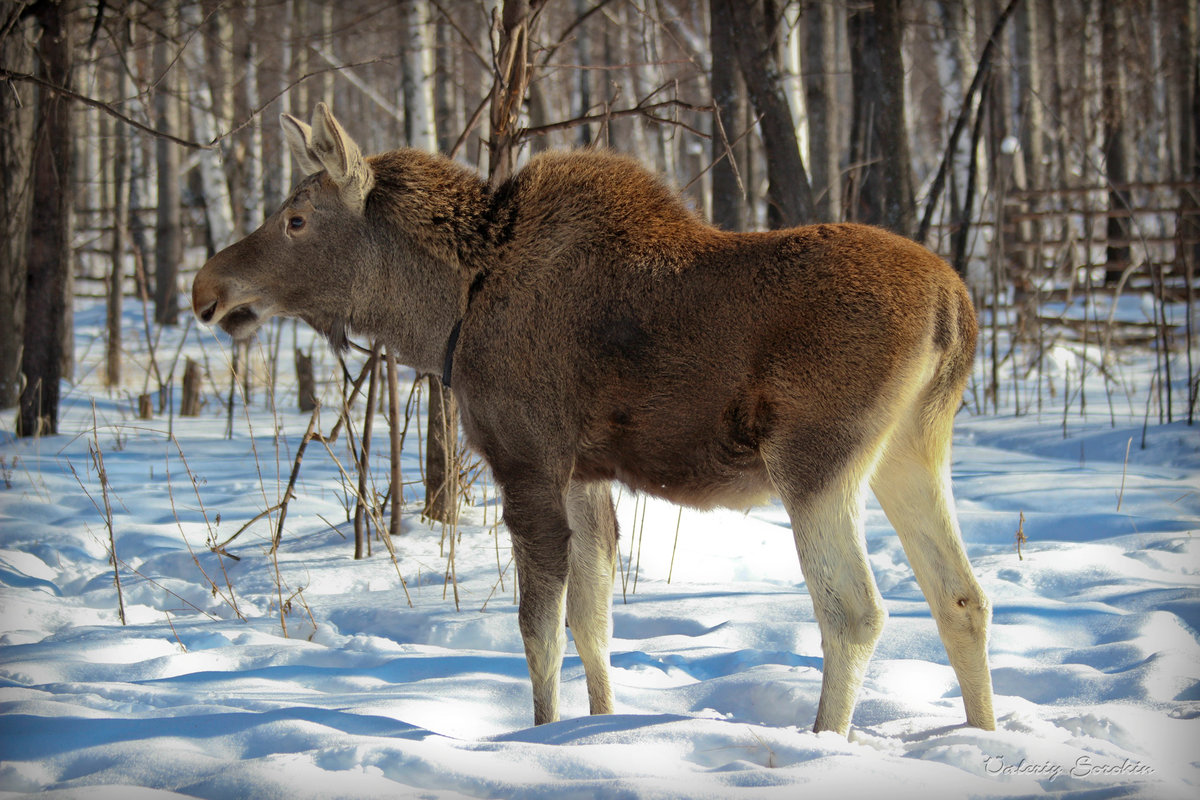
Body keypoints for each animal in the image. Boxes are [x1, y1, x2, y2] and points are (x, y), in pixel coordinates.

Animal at [194, 106, 993, 738]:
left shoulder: (527, 462)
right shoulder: (585, 473)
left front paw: (541, 736)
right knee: (961, 596)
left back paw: (826, 743)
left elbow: (538, 629)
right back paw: (983, 734)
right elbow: (592, 619)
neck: (446, 311)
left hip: (815, 459)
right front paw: (598, 728)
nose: (207, 288)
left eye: (296, 219)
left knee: (855, 612)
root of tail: (956, 307)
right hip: (909, 451)